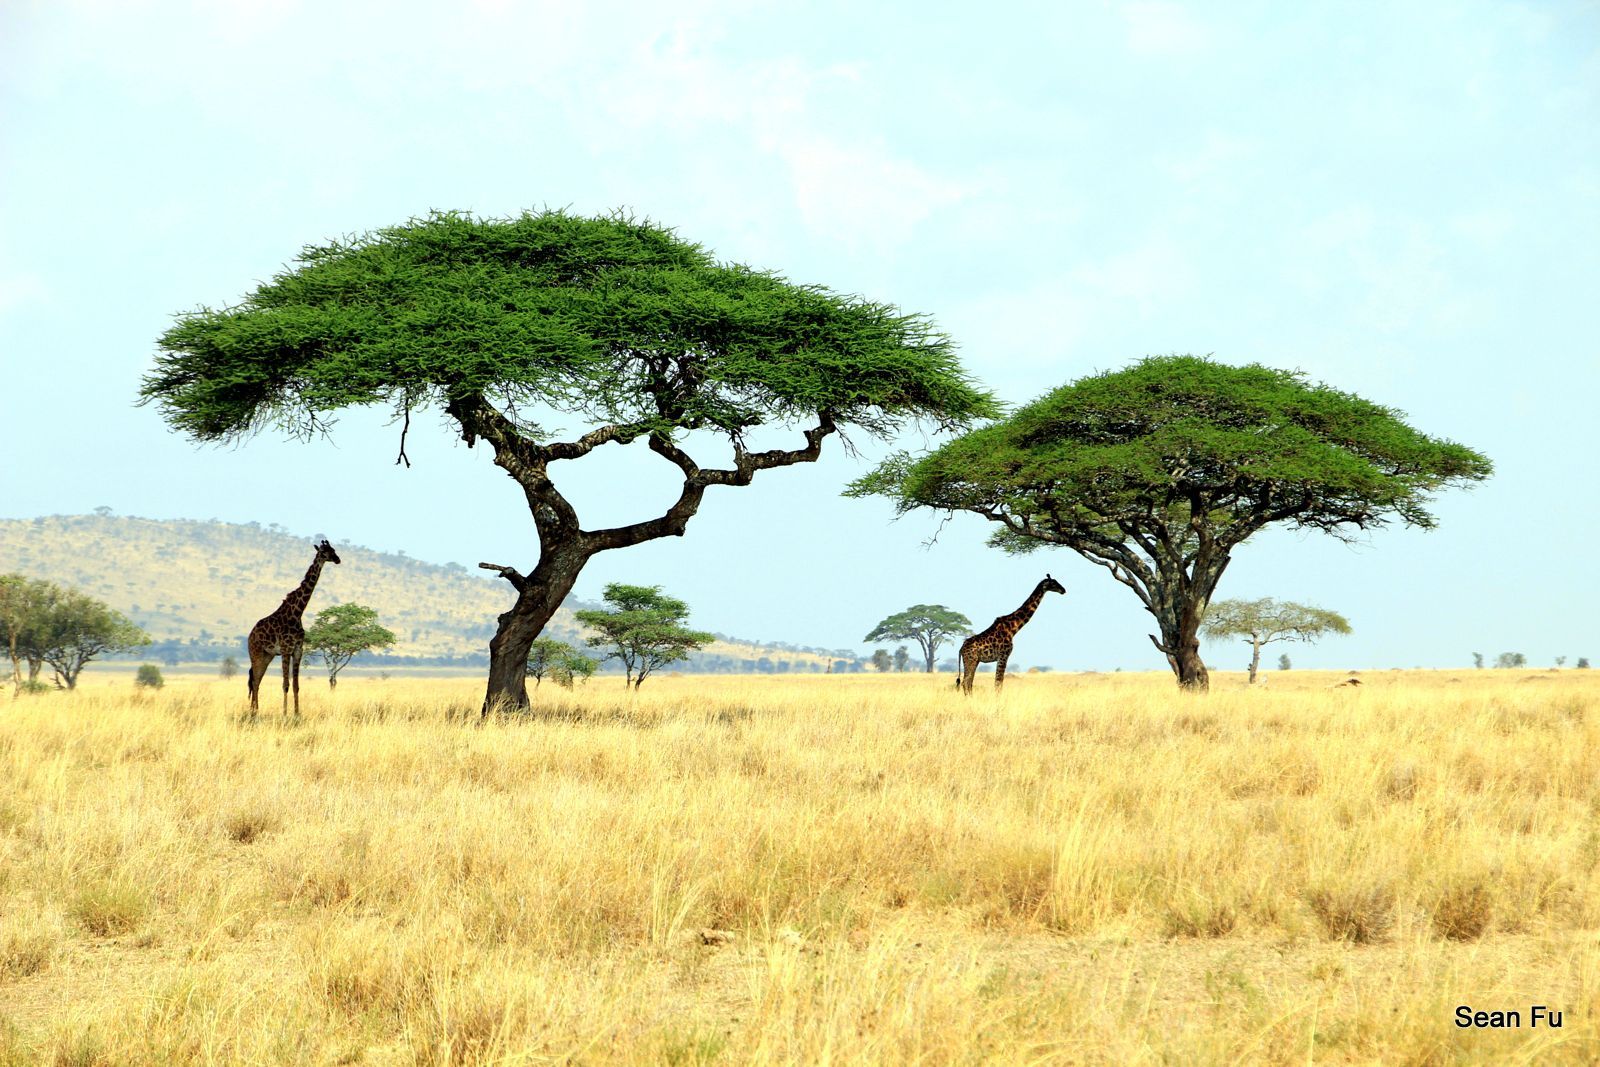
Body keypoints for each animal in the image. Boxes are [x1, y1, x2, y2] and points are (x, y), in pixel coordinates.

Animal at [246, 543, 340, 716]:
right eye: (324, 552)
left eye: (334, 549)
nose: (337, 559)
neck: (298, 612)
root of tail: (250, 635)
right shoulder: (285, 649)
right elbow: (285, 684)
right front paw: (284, 714)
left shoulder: (297, 650)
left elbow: (296, 685)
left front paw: (297, 713)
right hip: (255, 653)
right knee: (254, 681)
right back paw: (254, 713)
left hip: (267, 655)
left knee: (256, 681)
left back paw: (255, 711)